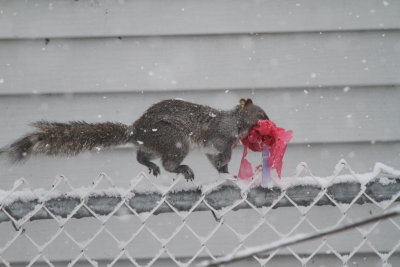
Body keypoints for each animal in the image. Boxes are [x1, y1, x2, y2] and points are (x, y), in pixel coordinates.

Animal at [1, 97, 268, 181]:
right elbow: (220, 149)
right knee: (168, 163)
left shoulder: (213, 149)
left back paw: (148, 164)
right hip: (174, 140)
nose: (270, 121)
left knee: (142, 156)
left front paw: (226, 172)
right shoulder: (219, 135)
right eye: (261, 115)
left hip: (155, 145)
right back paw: (181, 169)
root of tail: (136, 131)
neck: (236, 122)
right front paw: (227, 166)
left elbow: (216, 160)